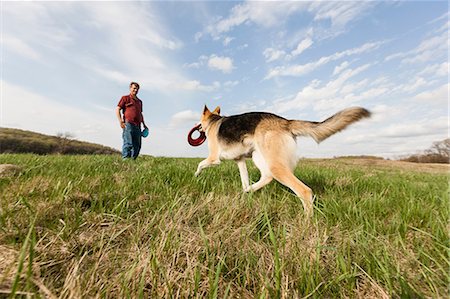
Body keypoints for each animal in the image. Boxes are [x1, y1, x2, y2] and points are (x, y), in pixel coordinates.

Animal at [195, 106, 370, 217]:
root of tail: (286, 122)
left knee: (304, 191)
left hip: (274, 164)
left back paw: (307, 222)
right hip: (259, 156)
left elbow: (200, 164)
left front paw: (196, 175)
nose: (197, 128)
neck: (213, 121)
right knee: (266, 177)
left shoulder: (214, 158)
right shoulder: (240, 161)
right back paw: (249, 190)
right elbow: (244, 178)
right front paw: (244, 194)